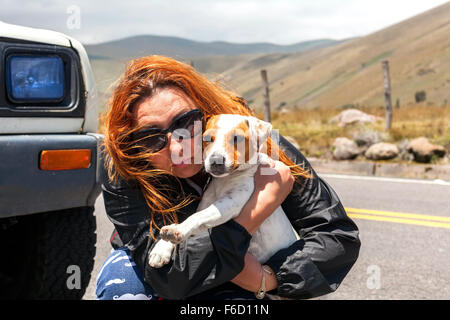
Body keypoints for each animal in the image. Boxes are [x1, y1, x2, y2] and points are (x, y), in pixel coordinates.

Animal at [149, 114, 300, 268]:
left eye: (237, 138)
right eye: (207, 138)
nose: (216, 161)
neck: (224, 180)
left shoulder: (231, 203)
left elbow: (196, 217)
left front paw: (178, 230)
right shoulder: (206, 207)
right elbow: (194, 218)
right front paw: (161, 248)